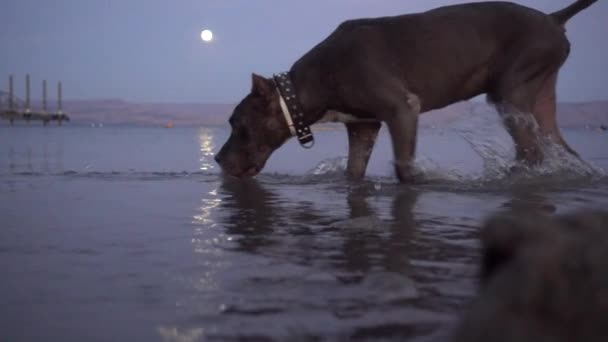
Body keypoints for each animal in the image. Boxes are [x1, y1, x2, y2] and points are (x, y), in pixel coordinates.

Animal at [215, 0, 600, 183]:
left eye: (237, 124)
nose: (217, 159)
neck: (304, 87)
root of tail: (553, 18)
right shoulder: (363, 126)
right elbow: (353, 171)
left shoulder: (401, 109)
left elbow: (404, 167)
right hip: (540, 93)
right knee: (560, 147)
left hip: (511, 90)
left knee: (531, 150)